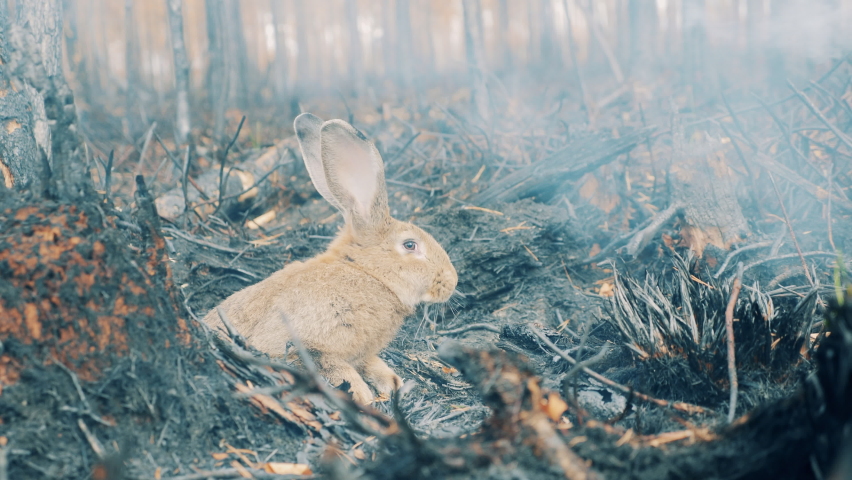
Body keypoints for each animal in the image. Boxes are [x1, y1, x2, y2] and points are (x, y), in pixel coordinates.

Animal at [204, 113, 460, 404]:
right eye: (410, 245)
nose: (452, 282)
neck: (367, 273)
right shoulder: (300, 339)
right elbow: (332, 366)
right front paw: (363, 396)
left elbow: (368, 362)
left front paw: (392, 382)